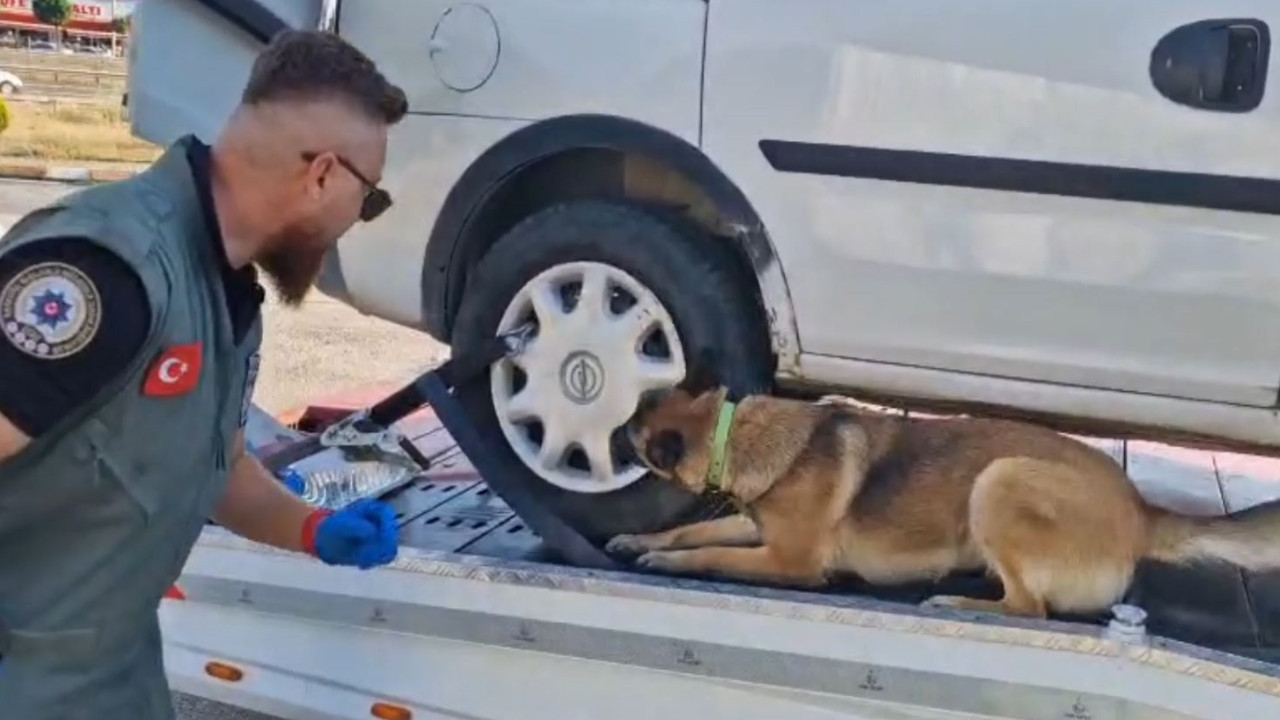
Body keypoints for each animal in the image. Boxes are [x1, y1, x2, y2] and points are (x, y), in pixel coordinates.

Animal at [604, 358, 1280, 617]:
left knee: (1029, 609)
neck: (733, 430)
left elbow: (711, 551)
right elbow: (692, 528)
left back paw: (957, 602)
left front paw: (666, 561)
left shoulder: (790, 561)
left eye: (629, 426)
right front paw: (639, 540)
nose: (602, 435)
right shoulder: (756, 524)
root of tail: (1142, 511)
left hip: (998, 480)